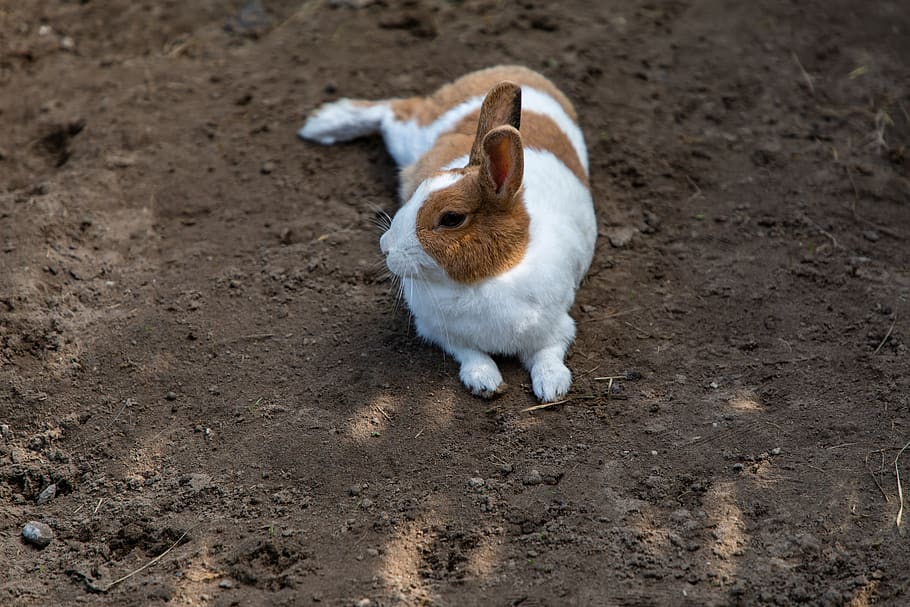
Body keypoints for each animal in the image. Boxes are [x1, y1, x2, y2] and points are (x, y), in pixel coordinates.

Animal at [299, 66, 597, 402]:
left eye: (451, 218)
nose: (385, 246)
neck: (487, 279)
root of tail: (516, 71)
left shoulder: (556, 327)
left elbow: (549, 355)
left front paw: (552, 388)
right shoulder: (439, 331)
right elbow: (470, 354)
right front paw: (484, 381)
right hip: (411, 133)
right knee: (395, 109)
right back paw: (323, 123)